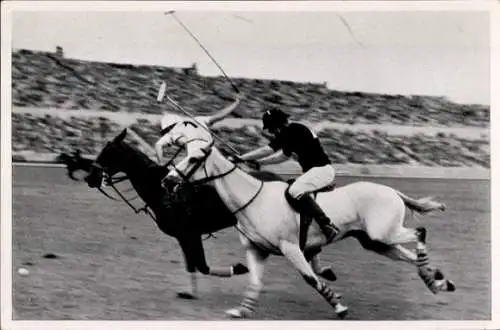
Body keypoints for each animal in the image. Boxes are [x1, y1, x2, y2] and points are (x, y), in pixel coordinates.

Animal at [166, 146, 456, 318]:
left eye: (194, 158)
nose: (167, 180)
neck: (253, 199)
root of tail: (392, 191)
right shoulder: (257, 250)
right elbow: (255, 282)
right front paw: (242, 310)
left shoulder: (291, 248)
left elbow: (310, 278)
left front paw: (339, 305)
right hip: (376, 242)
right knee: (412, 255)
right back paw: (437, 281)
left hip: (383, 234)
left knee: (420, 232)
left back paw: (434, 279)